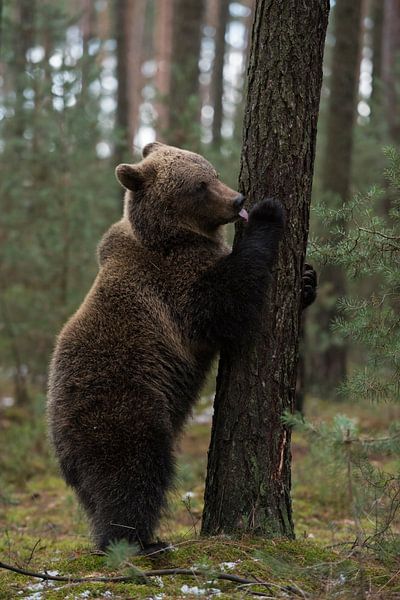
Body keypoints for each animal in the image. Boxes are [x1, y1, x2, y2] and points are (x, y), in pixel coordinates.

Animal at [47, 141, 314, 552]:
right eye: (199, 186)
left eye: (213, 171)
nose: (238, 198)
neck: (173, 237)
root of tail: (57, 432)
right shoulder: (173, 284)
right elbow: (222, 304)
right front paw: (268, 213)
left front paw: (307, 281)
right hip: (123, 405)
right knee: (132, 472)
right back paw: (136, 541)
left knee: (97, 493)